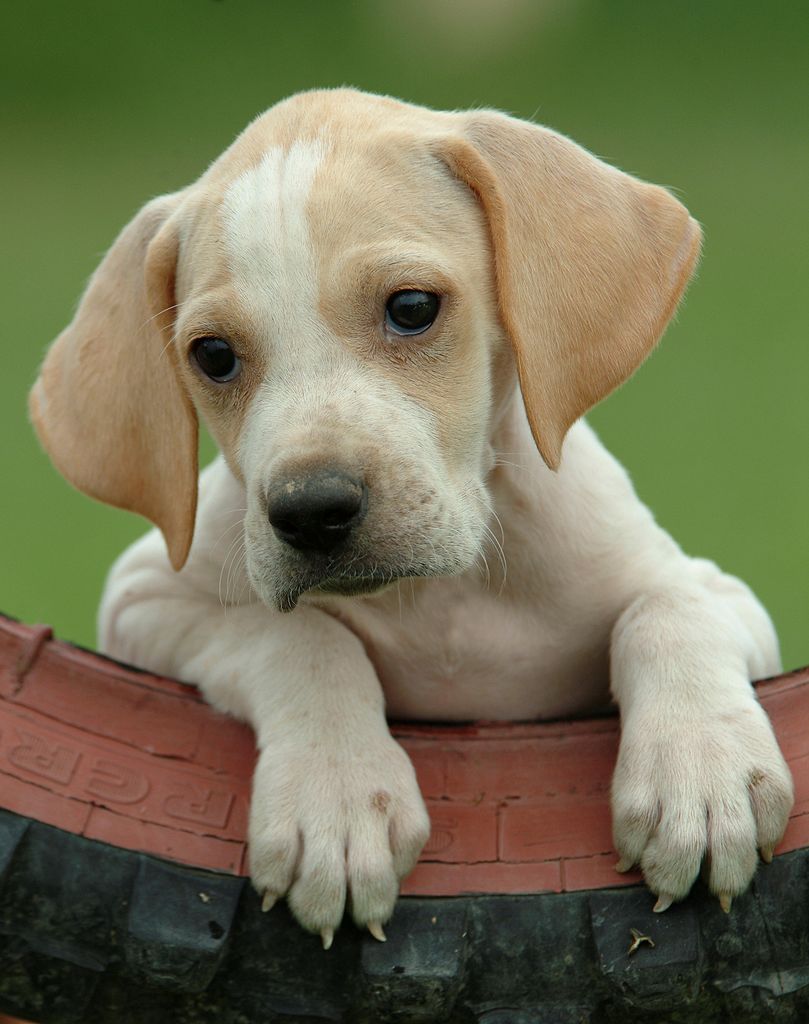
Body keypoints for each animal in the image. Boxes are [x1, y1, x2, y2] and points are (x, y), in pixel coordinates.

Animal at [28, 92, 794, 946]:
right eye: (213, 356)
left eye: (412, 309)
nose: (311, 512)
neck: (442, 598)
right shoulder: (141, 603)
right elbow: (298, 635)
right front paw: (333, 797)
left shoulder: (717, 591)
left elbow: (667, 608)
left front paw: (701, 773)